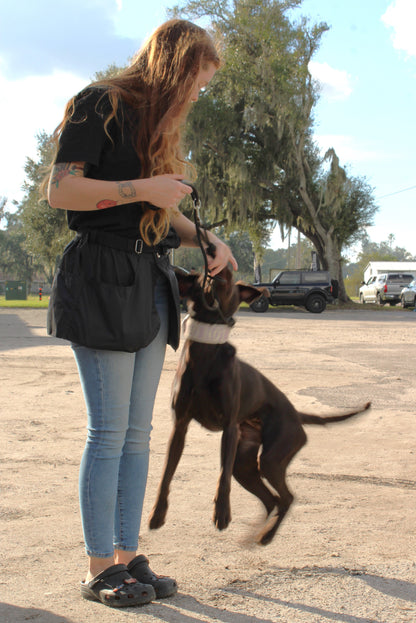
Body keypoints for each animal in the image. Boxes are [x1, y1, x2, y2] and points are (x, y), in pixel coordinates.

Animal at [150, 268, 370, 544]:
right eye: (204, 277)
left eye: (230, 280)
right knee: (272, 500)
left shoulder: (229, 428)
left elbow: (222, 476)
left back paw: (265, 535)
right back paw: (260, 533)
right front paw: (158, 513)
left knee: (286, 497)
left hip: (271, 457)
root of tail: (296, 413)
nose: (224, 271)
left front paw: (222, 513)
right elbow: (166, 474)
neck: (205, 354)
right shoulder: (179, 427)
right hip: (245, 465)